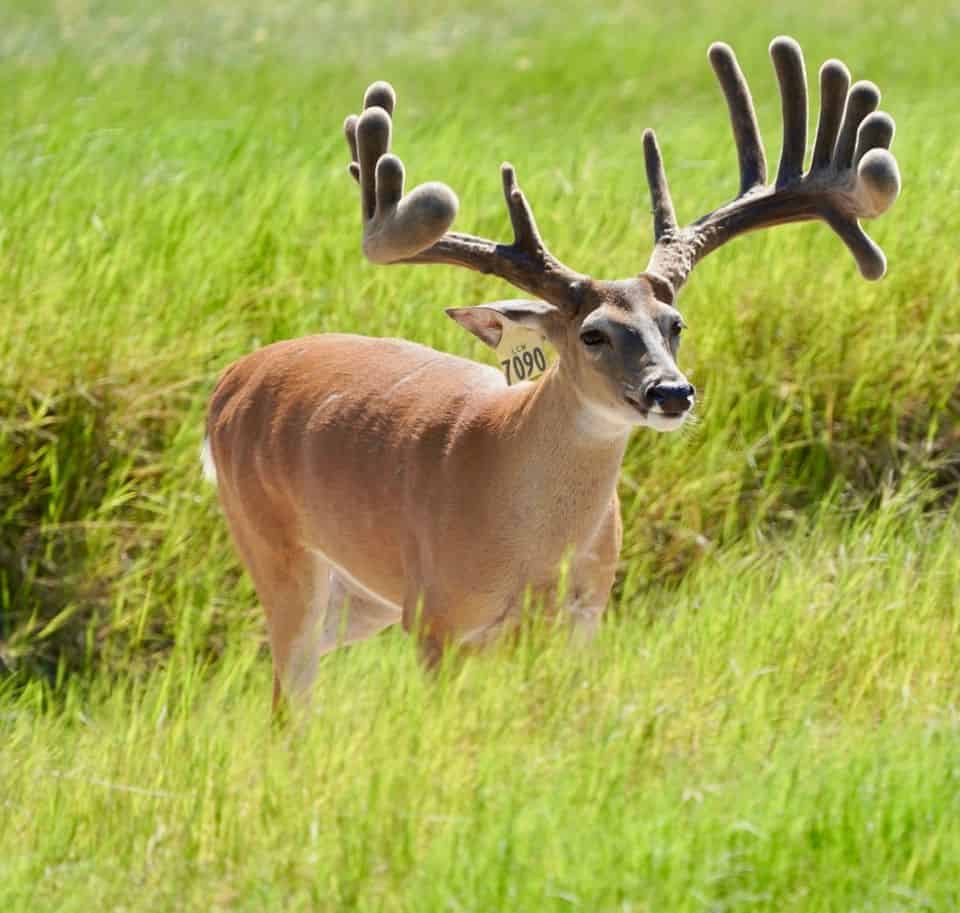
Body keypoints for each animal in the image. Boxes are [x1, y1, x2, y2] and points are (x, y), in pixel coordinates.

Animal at [204, 36, 900, 708]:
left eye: (675, 324)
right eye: (593, 333)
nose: (672, 392)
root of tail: (229, 380)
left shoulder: (581, 615)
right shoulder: (437, 615)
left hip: (360, 600)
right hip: (278, 553)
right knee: (288, 695)